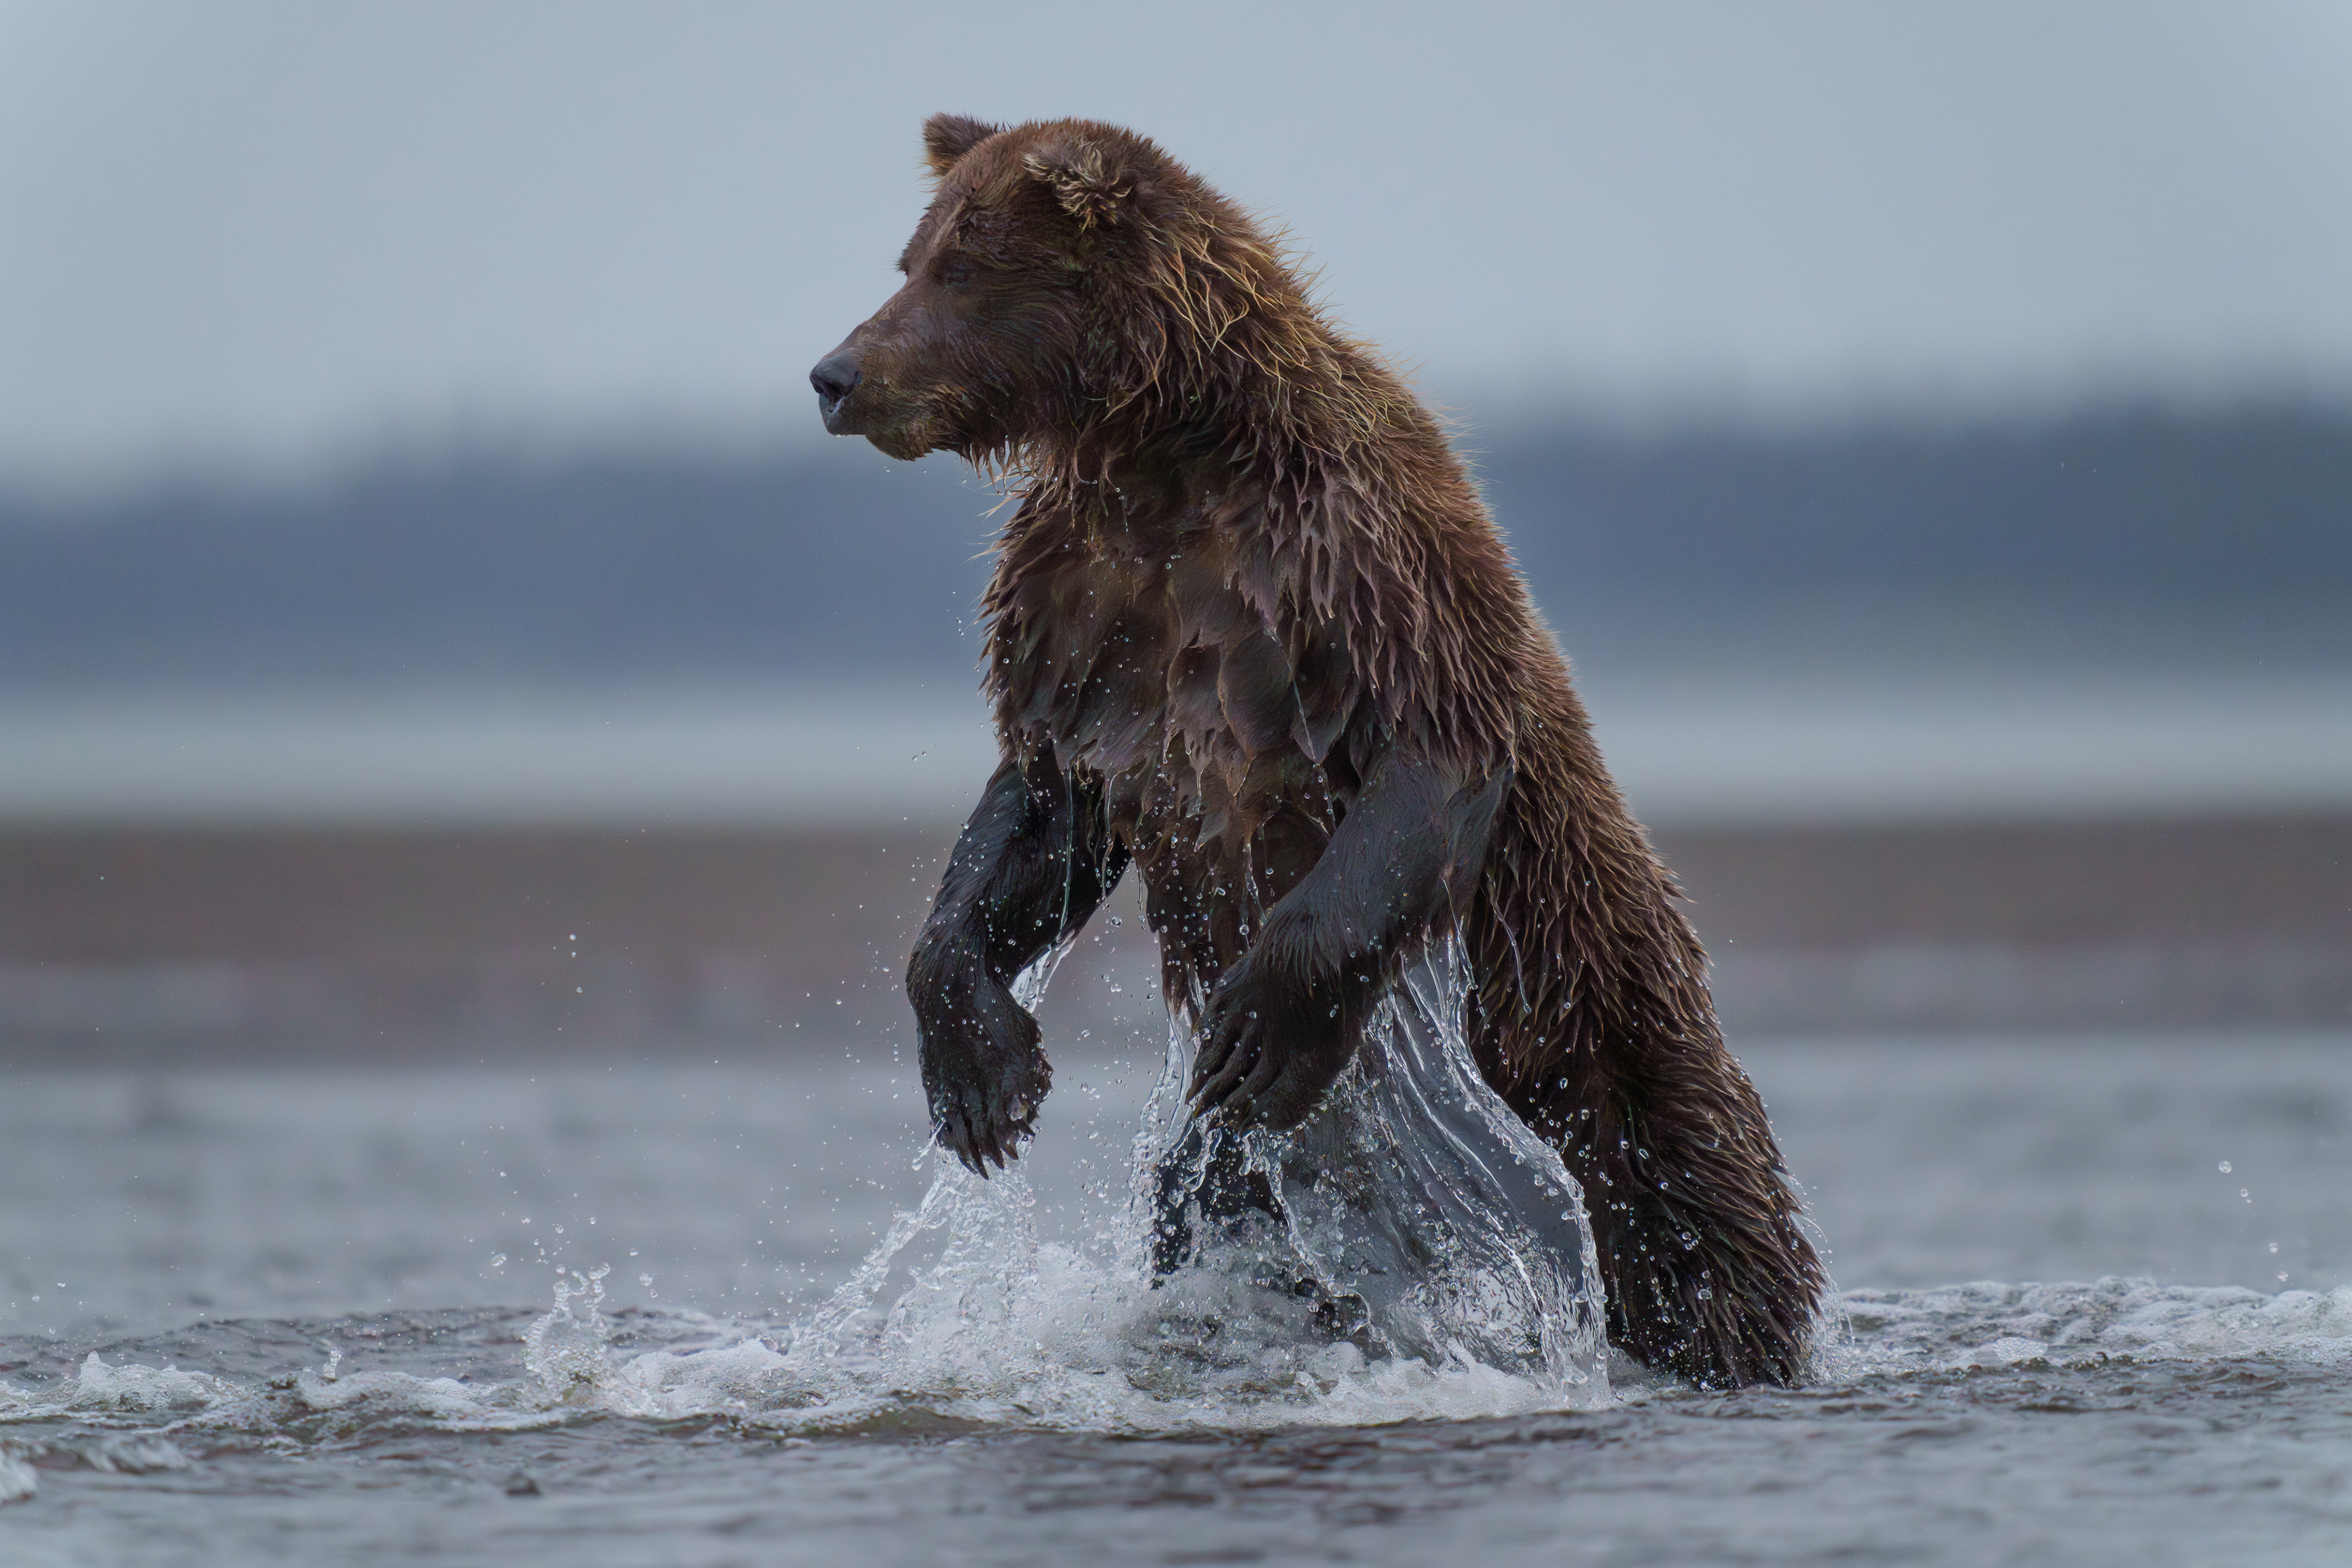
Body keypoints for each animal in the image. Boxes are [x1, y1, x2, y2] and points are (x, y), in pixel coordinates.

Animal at [810, 114, 1825, 1387]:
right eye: (910, 258)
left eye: (960, 265)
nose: (835, 375)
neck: (1165, 458)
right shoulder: (1083, 615)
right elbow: (1041, 816)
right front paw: (982, 1075)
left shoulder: (1359, 563)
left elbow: (1427, 764)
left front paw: (1262, 1026)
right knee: (1217, 1208)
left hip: (1604, 1049)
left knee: (1693, 1231)